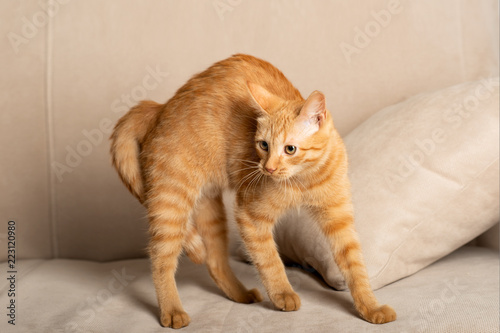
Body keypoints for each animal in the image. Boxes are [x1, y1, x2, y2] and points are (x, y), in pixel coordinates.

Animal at [109, 53, 394, 326]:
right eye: (263, 145)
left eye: (290, 149)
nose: (268, 168)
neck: (305, 179)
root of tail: (160, 107)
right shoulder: (250, 216)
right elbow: (270, 260)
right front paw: (283, 294)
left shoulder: (339, 218)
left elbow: (355, 266)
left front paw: (370, 307)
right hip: (172, 203)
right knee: (161, 259)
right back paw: (172, 311)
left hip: (210, 210)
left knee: (214, 260)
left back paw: (240, 295)